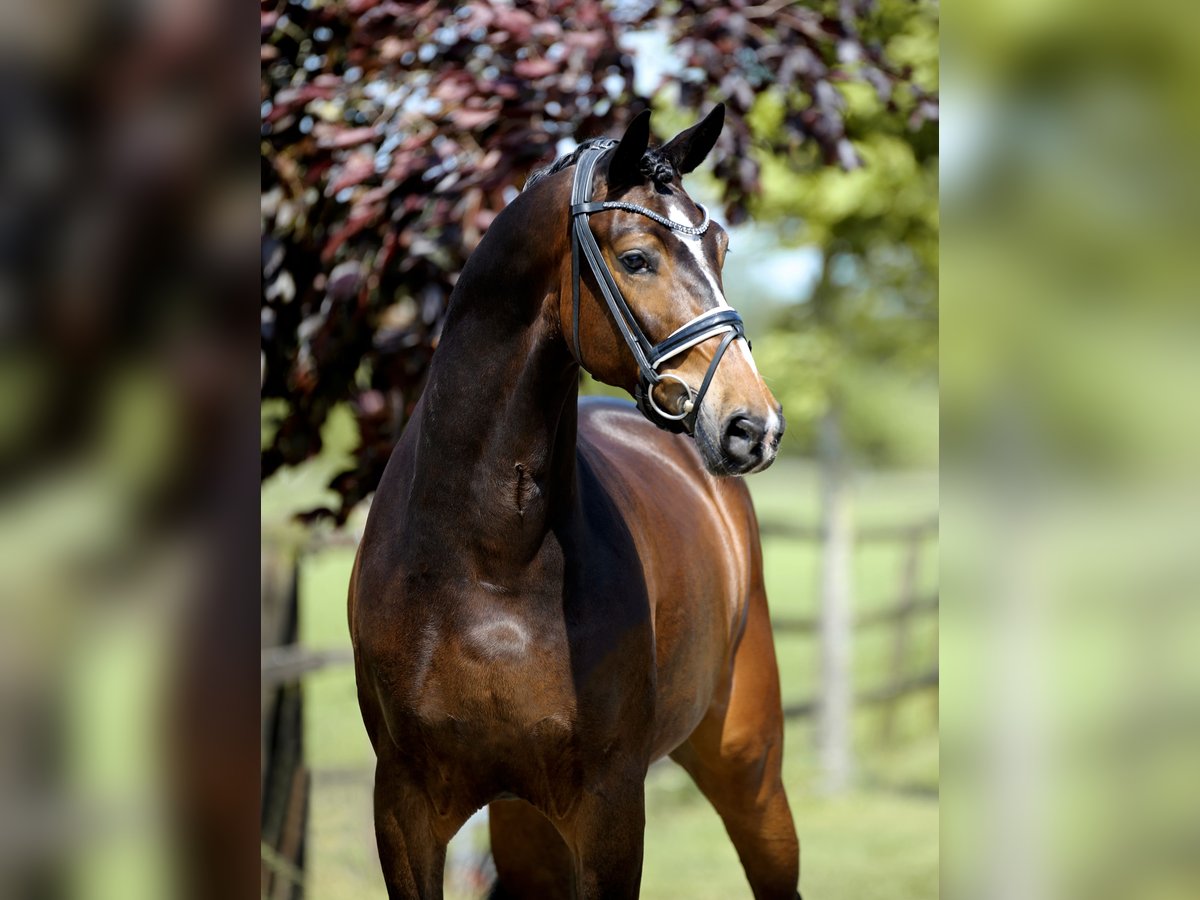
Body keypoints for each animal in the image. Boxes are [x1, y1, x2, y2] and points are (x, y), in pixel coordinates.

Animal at [348, 107, 801, 900]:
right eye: (637, 258)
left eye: (720, 246)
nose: (754, 426)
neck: (486, 563)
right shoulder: (402, 810)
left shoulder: (609, 807)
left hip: (749, 768)